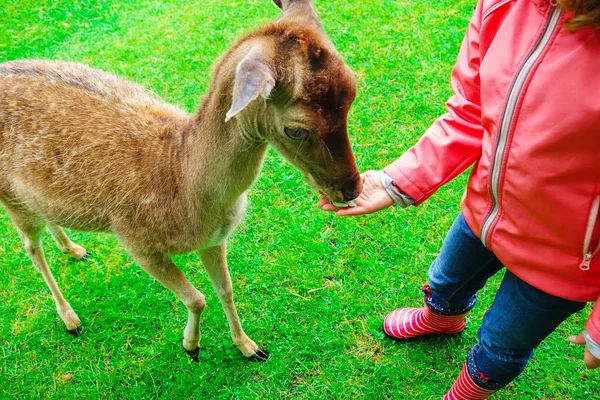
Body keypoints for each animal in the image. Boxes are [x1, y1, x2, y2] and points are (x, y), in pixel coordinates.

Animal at [0, 0, 358, 362]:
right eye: (296, 129)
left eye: (353, 90)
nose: (351, 188)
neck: (184, 189)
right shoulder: (134, 240)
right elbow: (197, 298)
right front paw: (192, 346)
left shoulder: (214, 239)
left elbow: (225, 289)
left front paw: (249, 347)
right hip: (10, 197)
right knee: (31, 248)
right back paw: (71, 319)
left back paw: (75, 249)